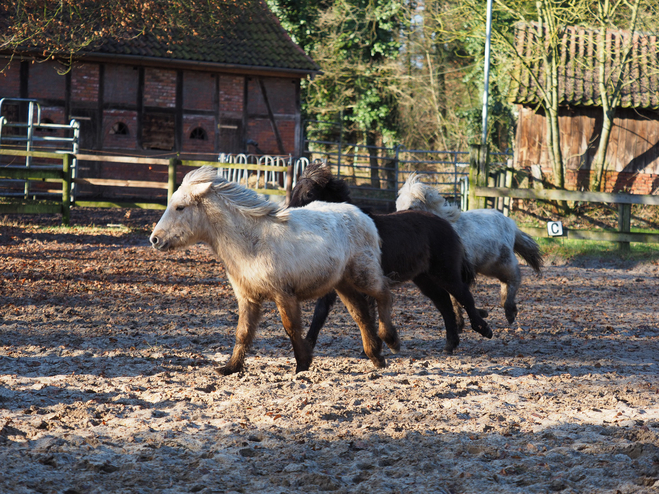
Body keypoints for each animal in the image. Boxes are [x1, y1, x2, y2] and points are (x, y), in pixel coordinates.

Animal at [151, 167, 402, 374]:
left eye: (180, 207)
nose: (155, 239)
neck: (251, 242)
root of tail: (363, 217)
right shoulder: (247, 298)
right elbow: (243, 333)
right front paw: (230, 367)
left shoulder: (284, 295)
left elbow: (291, 328)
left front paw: (302, 364)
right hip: (343, 284)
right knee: (361, 314)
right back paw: (376, 356)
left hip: (362, 275)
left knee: (384, 294)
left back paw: (391, 341)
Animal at [286, 162, 492, 356]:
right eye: (293, 190)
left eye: (309, 193)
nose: (289, 217)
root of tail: (445, 223)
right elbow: (320, 313)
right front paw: (308, 346)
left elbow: (368, 314)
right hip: (424, 278)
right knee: (444, 303)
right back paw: (450, 344)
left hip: (445, 272)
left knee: (463, 295)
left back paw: (483, 330)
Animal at [398, 174, 540, 328]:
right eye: (398, 206)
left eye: (413, 205)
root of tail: (510, 223)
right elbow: (454, 297)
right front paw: (461, 321)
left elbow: (458, 296)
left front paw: (475, 316)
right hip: (488, 265)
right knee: (506, 282)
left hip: (500, 262)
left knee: (514, 277)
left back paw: (509, 311)